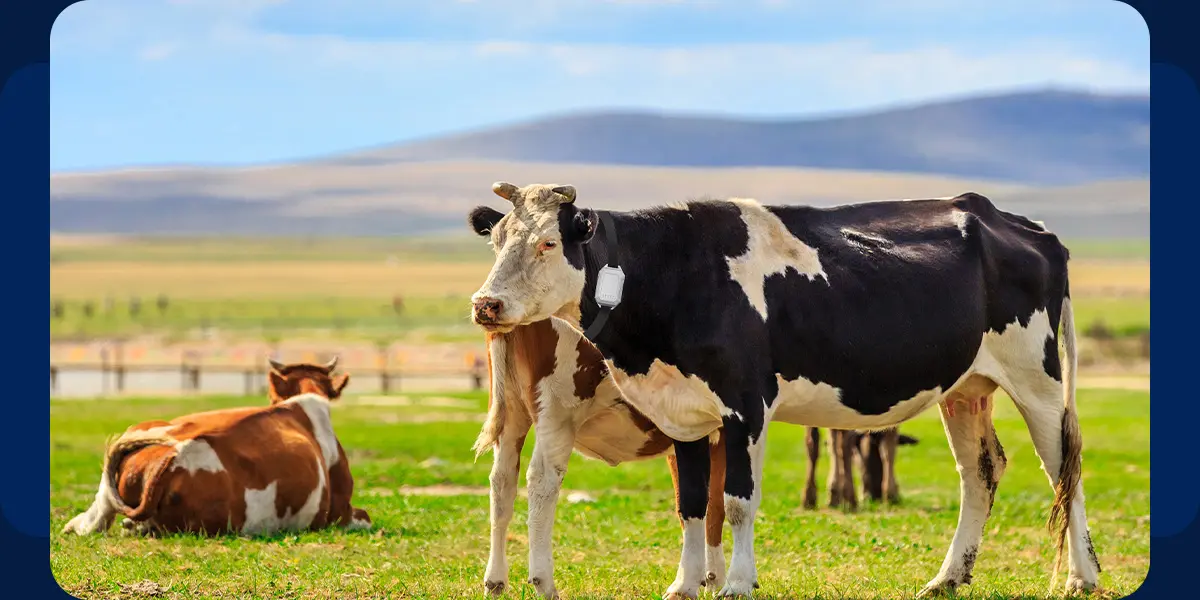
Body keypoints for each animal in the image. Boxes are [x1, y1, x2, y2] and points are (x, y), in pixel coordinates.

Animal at [463, 180, 1099, 597]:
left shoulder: (745, 406)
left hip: (1038, 380)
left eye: (548, 243)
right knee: (981, 470)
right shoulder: (683, 413)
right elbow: (692, 503)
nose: (485, 304)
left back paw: (1082, 576)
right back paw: (948, 577)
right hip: (966, 387)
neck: (676, 273)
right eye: (497, 240)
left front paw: (737, 583)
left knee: (1063, 469)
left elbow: (736, 502)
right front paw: (684, 585)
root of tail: (1022, 226)